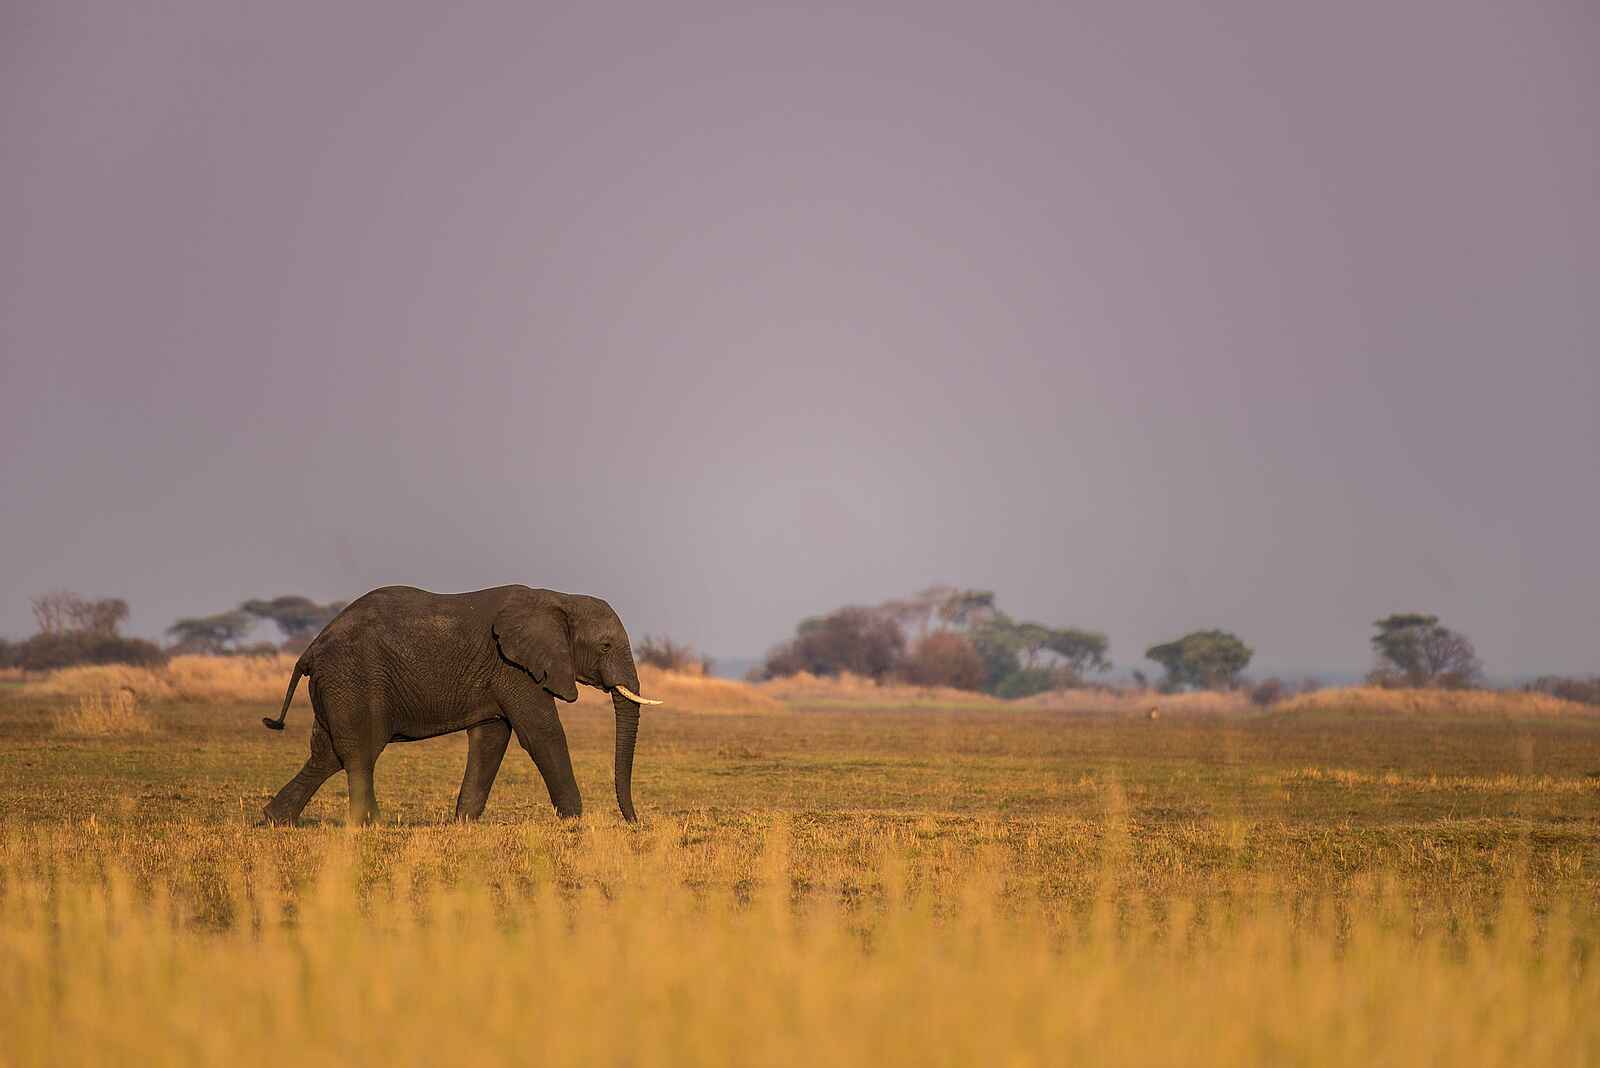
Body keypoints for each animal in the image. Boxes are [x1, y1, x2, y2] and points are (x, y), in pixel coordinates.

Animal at [259, 585, 661, 826]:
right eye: (605, 646)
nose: (635, 822)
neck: (558, 598)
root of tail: (311, 648)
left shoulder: (500, 675)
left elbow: (491, 738)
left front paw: (464, 822)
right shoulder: (513, 667)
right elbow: (542, 733)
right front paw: (575, 821)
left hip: (337, 685)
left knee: (326, 754)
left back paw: (274, 820)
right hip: (354, 679)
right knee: (359, 750)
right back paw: (372, 824)